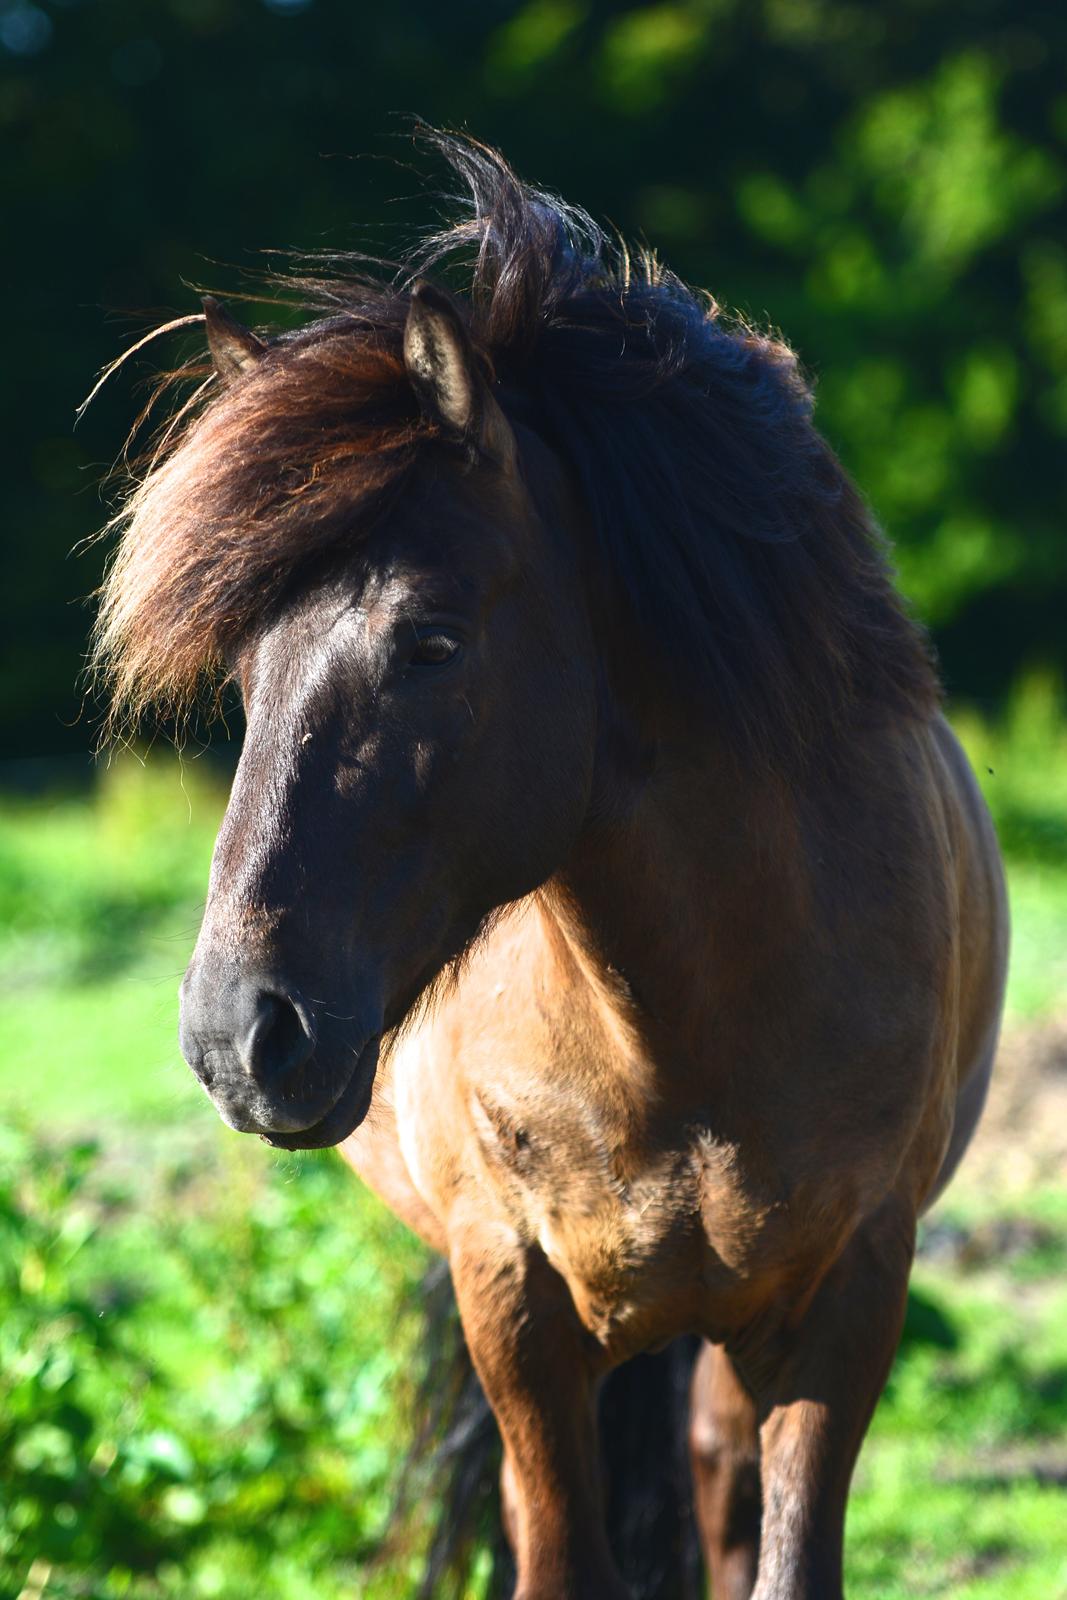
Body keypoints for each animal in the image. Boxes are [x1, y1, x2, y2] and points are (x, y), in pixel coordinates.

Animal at [93, 131, 1011, 1593]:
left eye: (430, 640)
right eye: (243, 669)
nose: (241, 1032)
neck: (681, 1023)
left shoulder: (849, 1290)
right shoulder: (510, 1297)